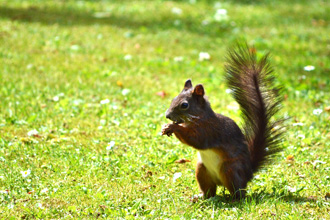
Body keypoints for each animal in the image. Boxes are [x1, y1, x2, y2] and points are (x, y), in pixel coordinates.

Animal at [162, 43, 284, 199]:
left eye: (184, 105)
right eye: (173, 99)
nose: (167, 115)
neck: (200, 117)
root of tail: (248, 174)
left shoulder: (209, 131)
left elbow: (196, 140)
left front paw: (174, 127)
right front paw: (166, 127)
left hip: (229, 169)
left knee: (239, 192)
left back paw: (233, 199)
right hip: (202, 170)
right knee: (210, 191)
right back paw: (200, 197)